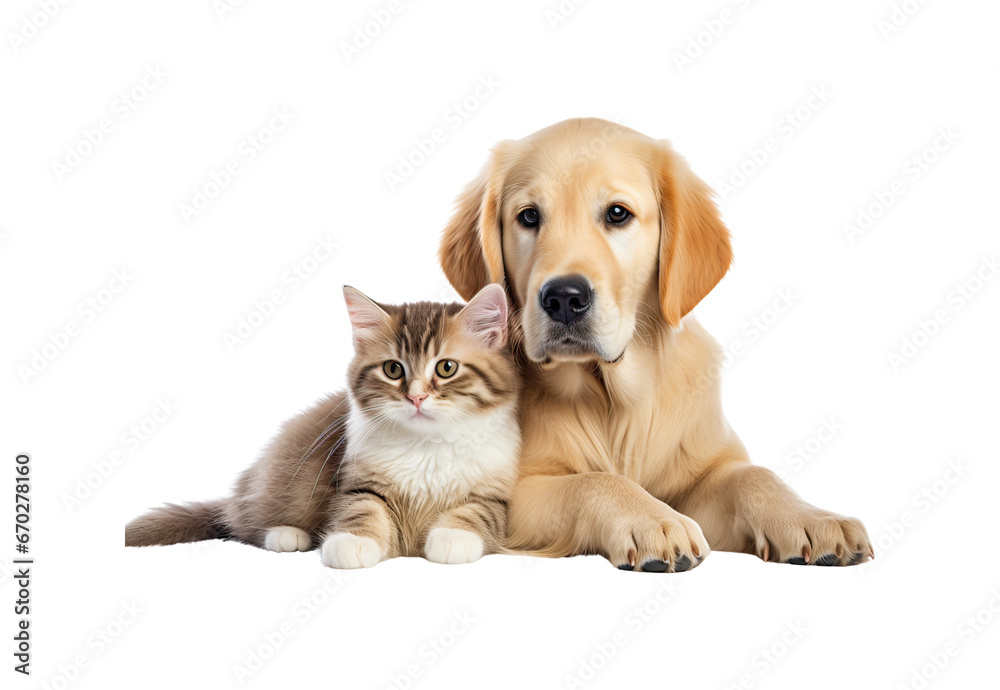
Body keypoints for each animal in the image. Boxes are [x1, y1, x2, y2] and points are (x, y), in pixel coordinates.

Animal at [127, 282, 524, 568]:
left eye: (446, 368)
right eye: (393, 369)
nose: (416, 398)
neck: (428, 445)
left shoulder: (494, 495)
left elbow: (474, 512)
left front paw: (452, 538)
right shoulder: (357, 483)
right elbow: (362, 509)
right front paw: (352, 543)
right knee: (242, 524)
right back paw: (287, 536)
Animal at [442, 117, 872, 568]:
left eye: (617, 213)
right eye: (528, 216)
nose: (563, 299)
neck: (615, 400)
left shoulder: (704, 472)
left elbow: (754, 474)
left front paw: (812, 518)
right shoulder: (513, 493)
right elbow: (594, 480)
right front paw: (653, 520)